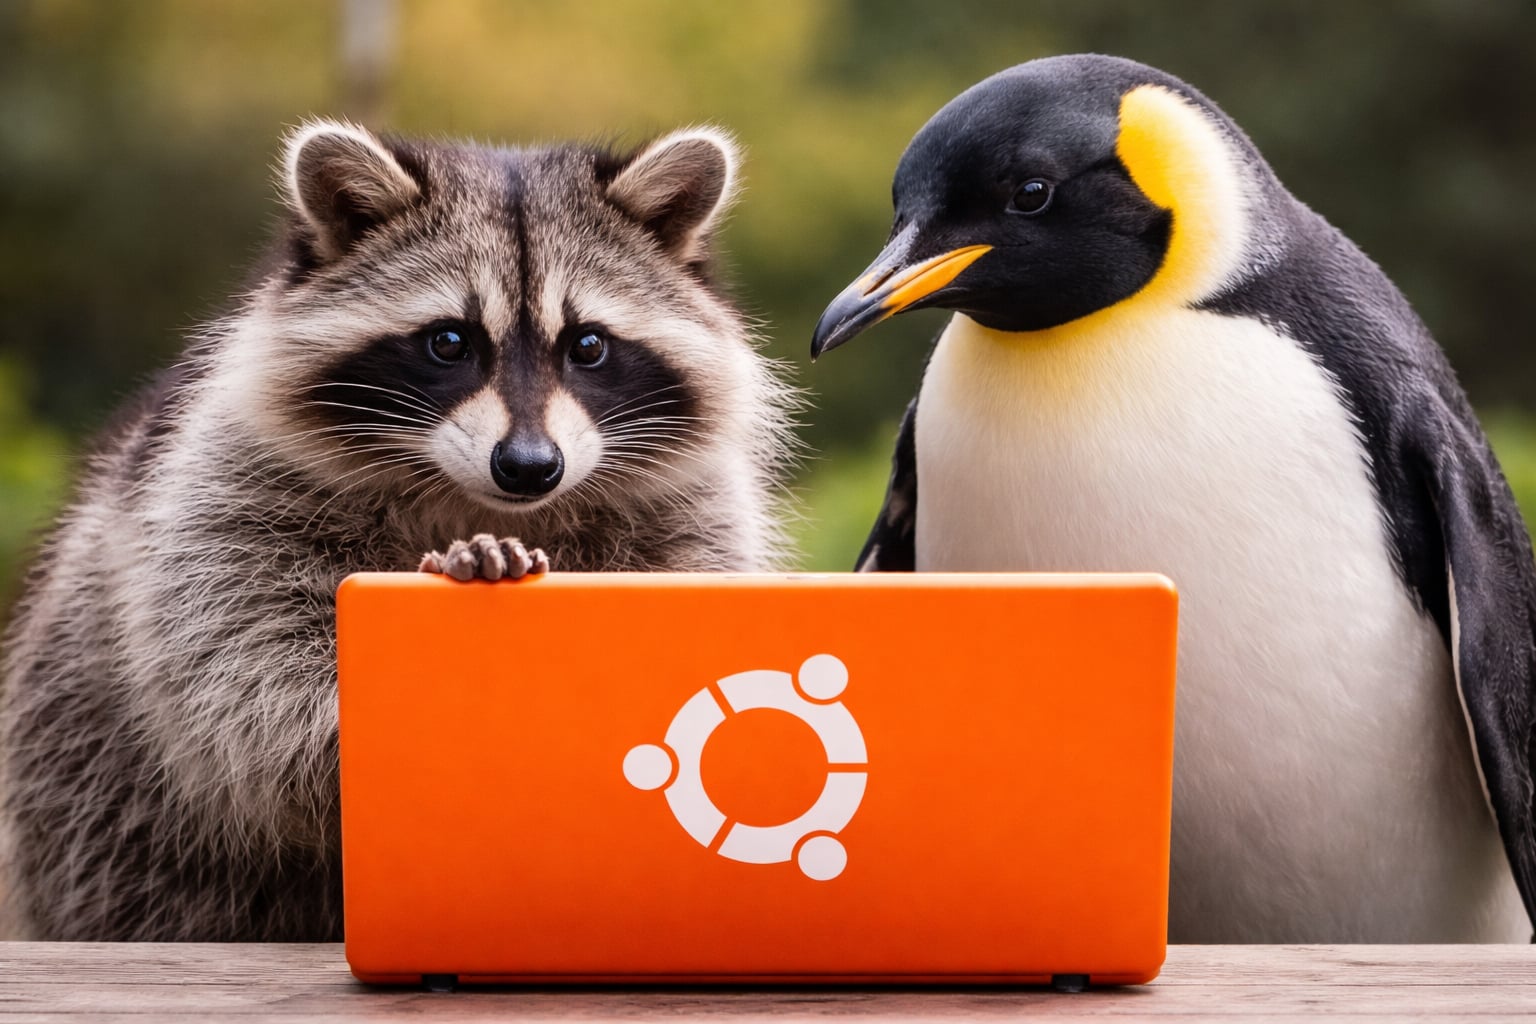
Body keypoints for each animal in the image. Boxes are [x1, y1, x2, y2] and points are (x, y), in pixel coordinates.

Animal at [0, 120, 795, 940]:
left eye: (588, 346)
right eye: (449, 342)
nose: (529, 466)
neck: (480, 500)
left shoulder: (690, 508)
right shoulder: (223, 491)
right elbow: (244, 665)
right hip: (98, 801)